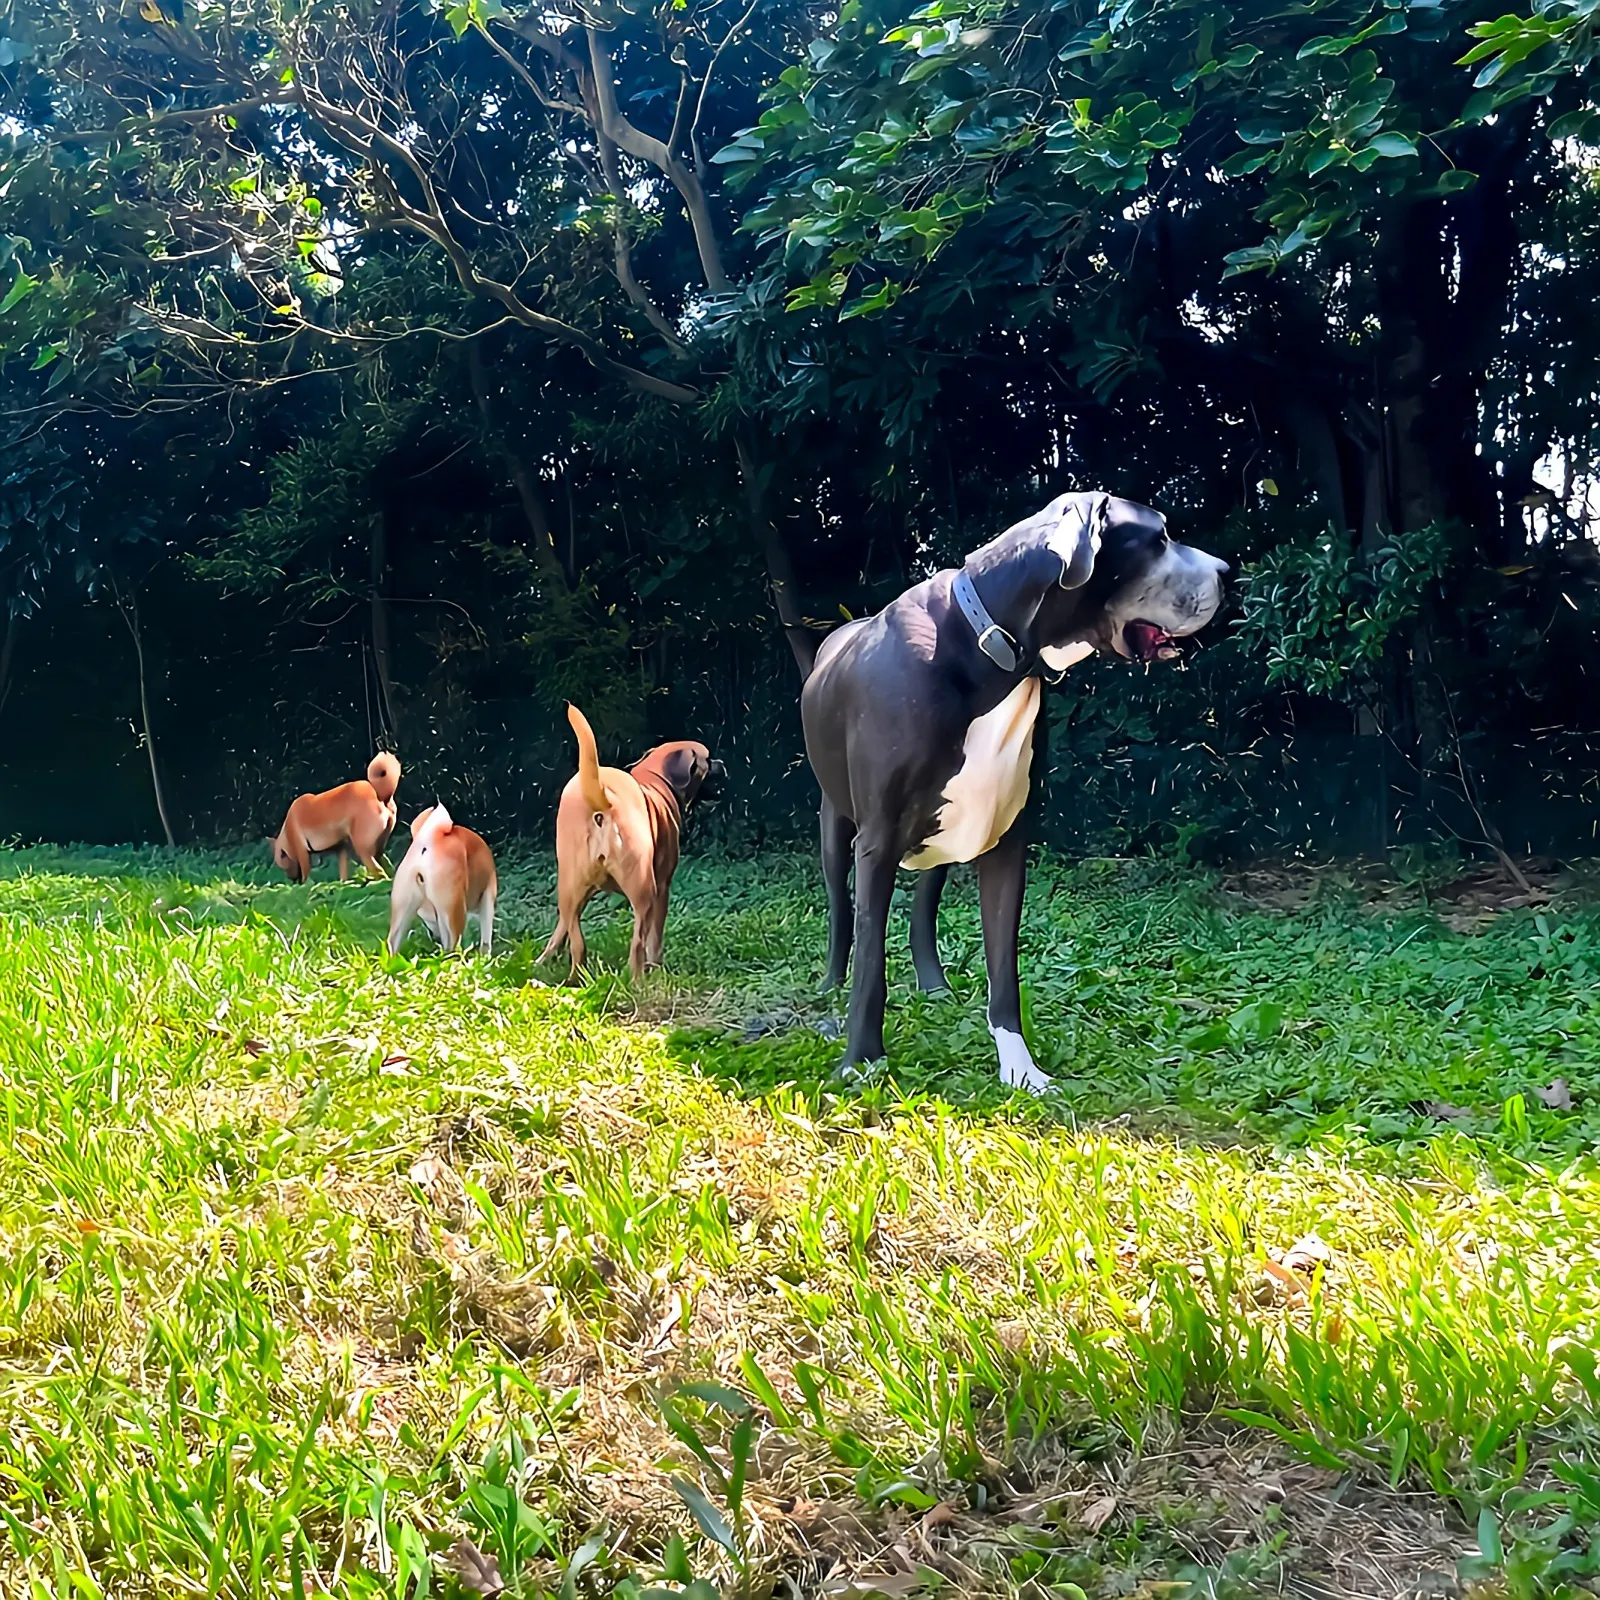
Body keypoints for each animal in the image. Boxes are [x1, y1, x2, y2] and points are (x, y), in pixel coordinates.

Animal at [270, 753, 401, 883]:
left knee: (378, 871)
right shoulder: (341, 850)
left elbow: (306, 876)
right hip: (378, 849)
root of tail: (381, 795)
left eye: (282, 865)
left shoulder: (302, 854)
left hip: (362, 848)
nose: (292, 880)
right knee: (386, 866)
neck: (287, 832)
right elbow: (343, 875)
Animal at [386, 805, 497, 956]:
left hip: (402, 909)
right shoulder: (488, 899)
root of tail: (428, 841)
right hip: (454, 911)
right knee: (452, 947)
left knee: (392, 944)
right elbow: (486, 941)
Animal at [539, 704, 721, 979]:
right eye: (707, 760)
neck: (655, 779)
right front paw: (656, 966)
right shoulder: (663, 887)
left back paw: (575, 979)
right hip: (644, 888)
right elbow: (655, 939)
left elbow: (560, 932)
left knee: (578, 943)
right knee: (638, 942)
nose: (722, 763)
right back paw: (638, 979)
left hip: (569, 888)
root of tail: (603, 798)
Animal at [800, 491, 1227, 1093]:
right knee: (842, 914)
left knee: (924, 907)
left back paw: (935, 987)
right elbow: (870, 967)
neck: (990, 652)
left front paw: (1020, 1068)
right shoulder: (877, 842)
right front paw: (861, 1061)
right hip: (837, 827)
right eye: (1159, 538)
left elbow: (1004, 971)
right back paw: (831, 985)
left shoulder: (1006, 843)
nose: (1228, 572)